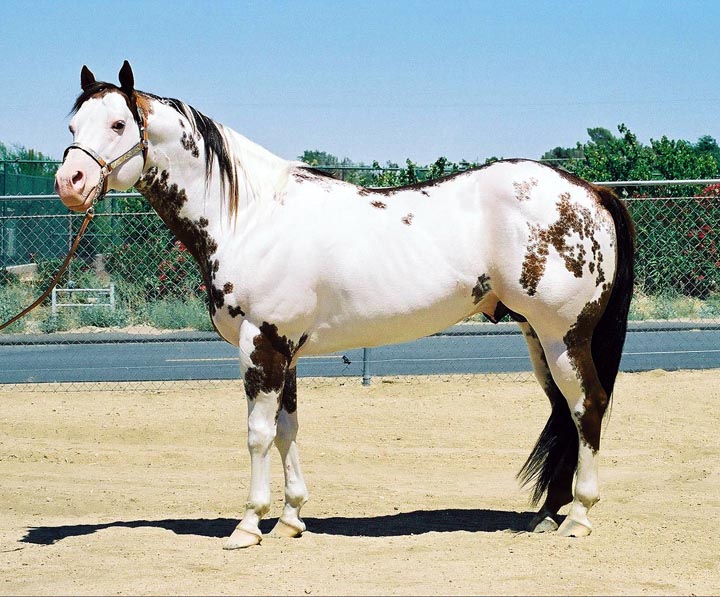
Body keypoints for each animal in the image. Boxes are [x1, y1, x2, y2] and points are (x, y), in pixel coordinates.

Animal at [55, 61, 635, 549]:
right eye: (72, 127)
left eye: (118, 125)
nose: (69, 183)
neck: (252, 218)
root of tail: (590, 192)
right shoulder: (285, 351)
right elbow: (287, 430)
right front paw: (291, 518)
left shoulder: (260, 345)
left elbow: (258, 435)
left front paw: (249, 524)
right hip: (538, 338)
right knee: (563, 411)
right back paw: (547, 515)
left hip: (564, 335)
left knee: (587, 407)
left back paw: (579, 516)